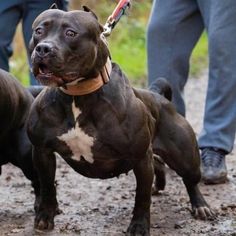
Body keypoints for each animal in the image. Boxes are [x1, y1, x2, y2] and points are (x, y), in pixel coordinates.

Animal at [27, 5, 214, 234]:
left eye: (71, 33)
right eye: (39, 31)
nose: (43, 49)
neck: (77, 95)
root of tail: (158, 95)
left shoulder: (140, 157)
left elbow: (141, 197)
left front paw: (139, 226)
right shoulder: (42, 151)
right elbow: (47, 185)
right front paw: (45, 215)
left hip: (185, 157)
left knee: (190, 180)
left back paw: (200, 206)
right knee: (158, 164)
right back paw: (159, 186)